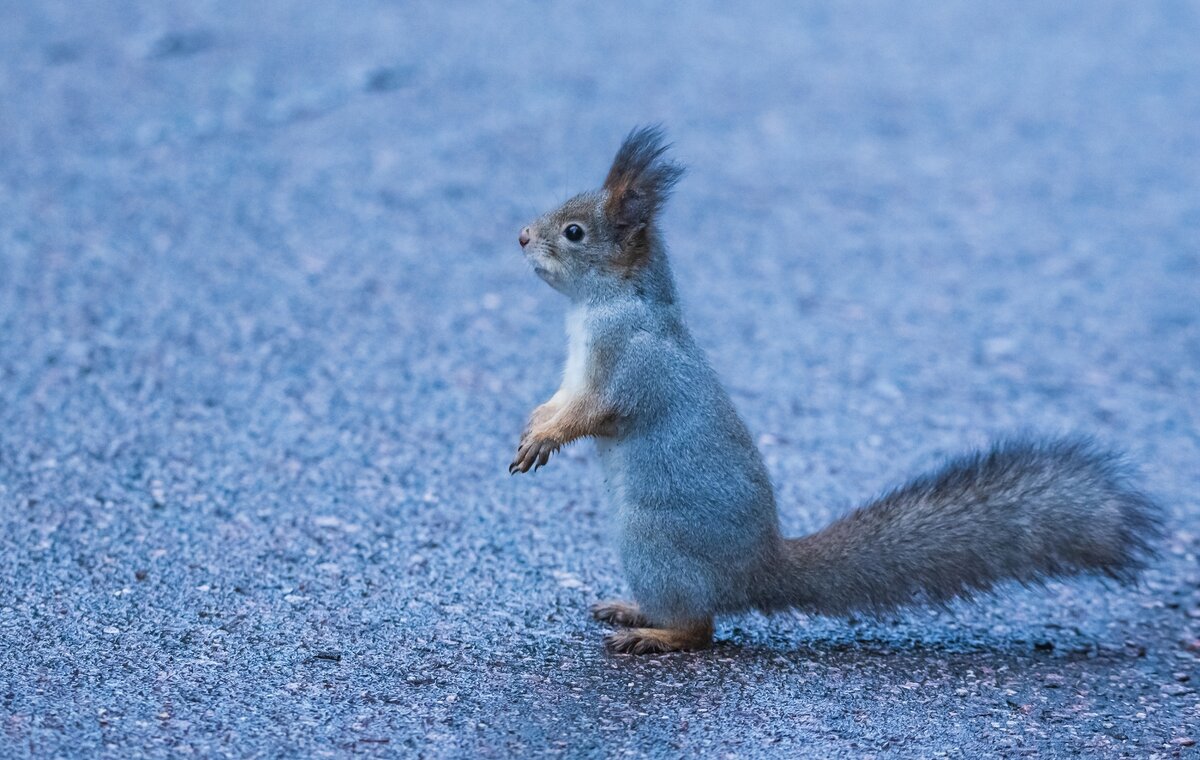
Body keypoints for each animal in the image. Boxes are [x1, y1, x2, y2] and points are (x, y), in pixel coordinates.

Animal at [508, 124, 1161, 653]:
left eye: (573, 232)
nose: (521, 236)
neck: (603, 306)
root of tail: (756, 572)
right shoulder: (576, 367)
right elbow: (560, 400)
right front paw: (535, 422)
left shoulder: (630, 363)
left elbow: (593, 411)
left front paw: (547, 437)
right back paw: (632, 609)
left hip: (650, 540)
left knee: (701, 628)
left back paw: (655, 634)